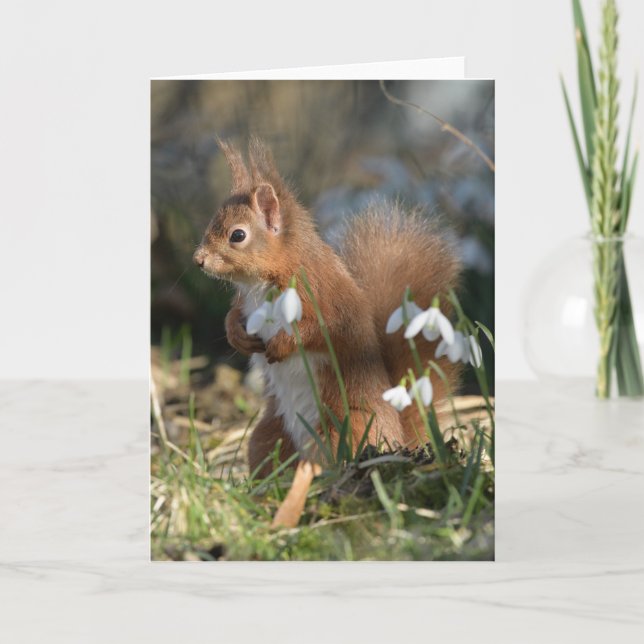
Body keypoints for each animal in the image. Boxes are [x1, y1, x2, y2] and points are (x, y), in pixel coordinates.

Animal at [193, 137, 461, 476]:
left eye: (237, 235)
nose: (198, 259)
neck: (260, 282)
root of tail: (398, 440)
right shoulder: (245, 302)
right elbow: (232, 315)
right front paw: (237, 337)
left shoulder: (321, 295)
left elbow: (321, 330)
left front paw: (281, 345)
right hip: (268, 434)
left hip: (344, 426)